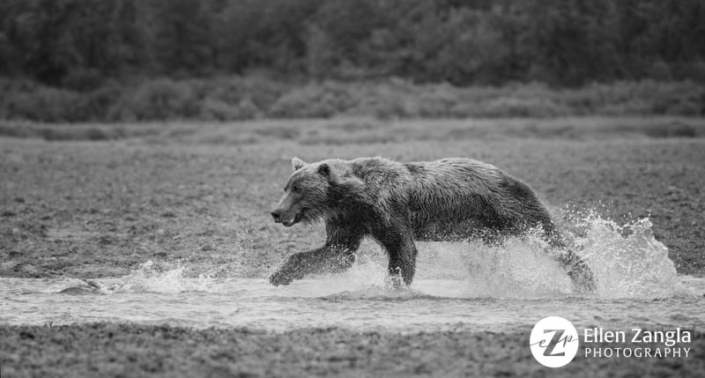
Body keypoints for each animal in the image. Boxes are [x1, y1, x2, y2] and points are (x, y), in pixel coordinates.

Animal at [270, 157, 592, 292]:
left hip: (510, 206)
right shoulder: (350, 220)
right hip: (484, 230)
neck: (353, 196)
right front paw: (278, 275)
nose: (275, 212)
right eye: (286, 186)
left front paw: (393, 286)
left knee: (549, 238)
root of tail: (510, 175)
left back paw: (586, 278)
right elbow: (337, 252)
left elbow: (402, 249)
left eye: (298, 188)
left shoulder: (387, 209)